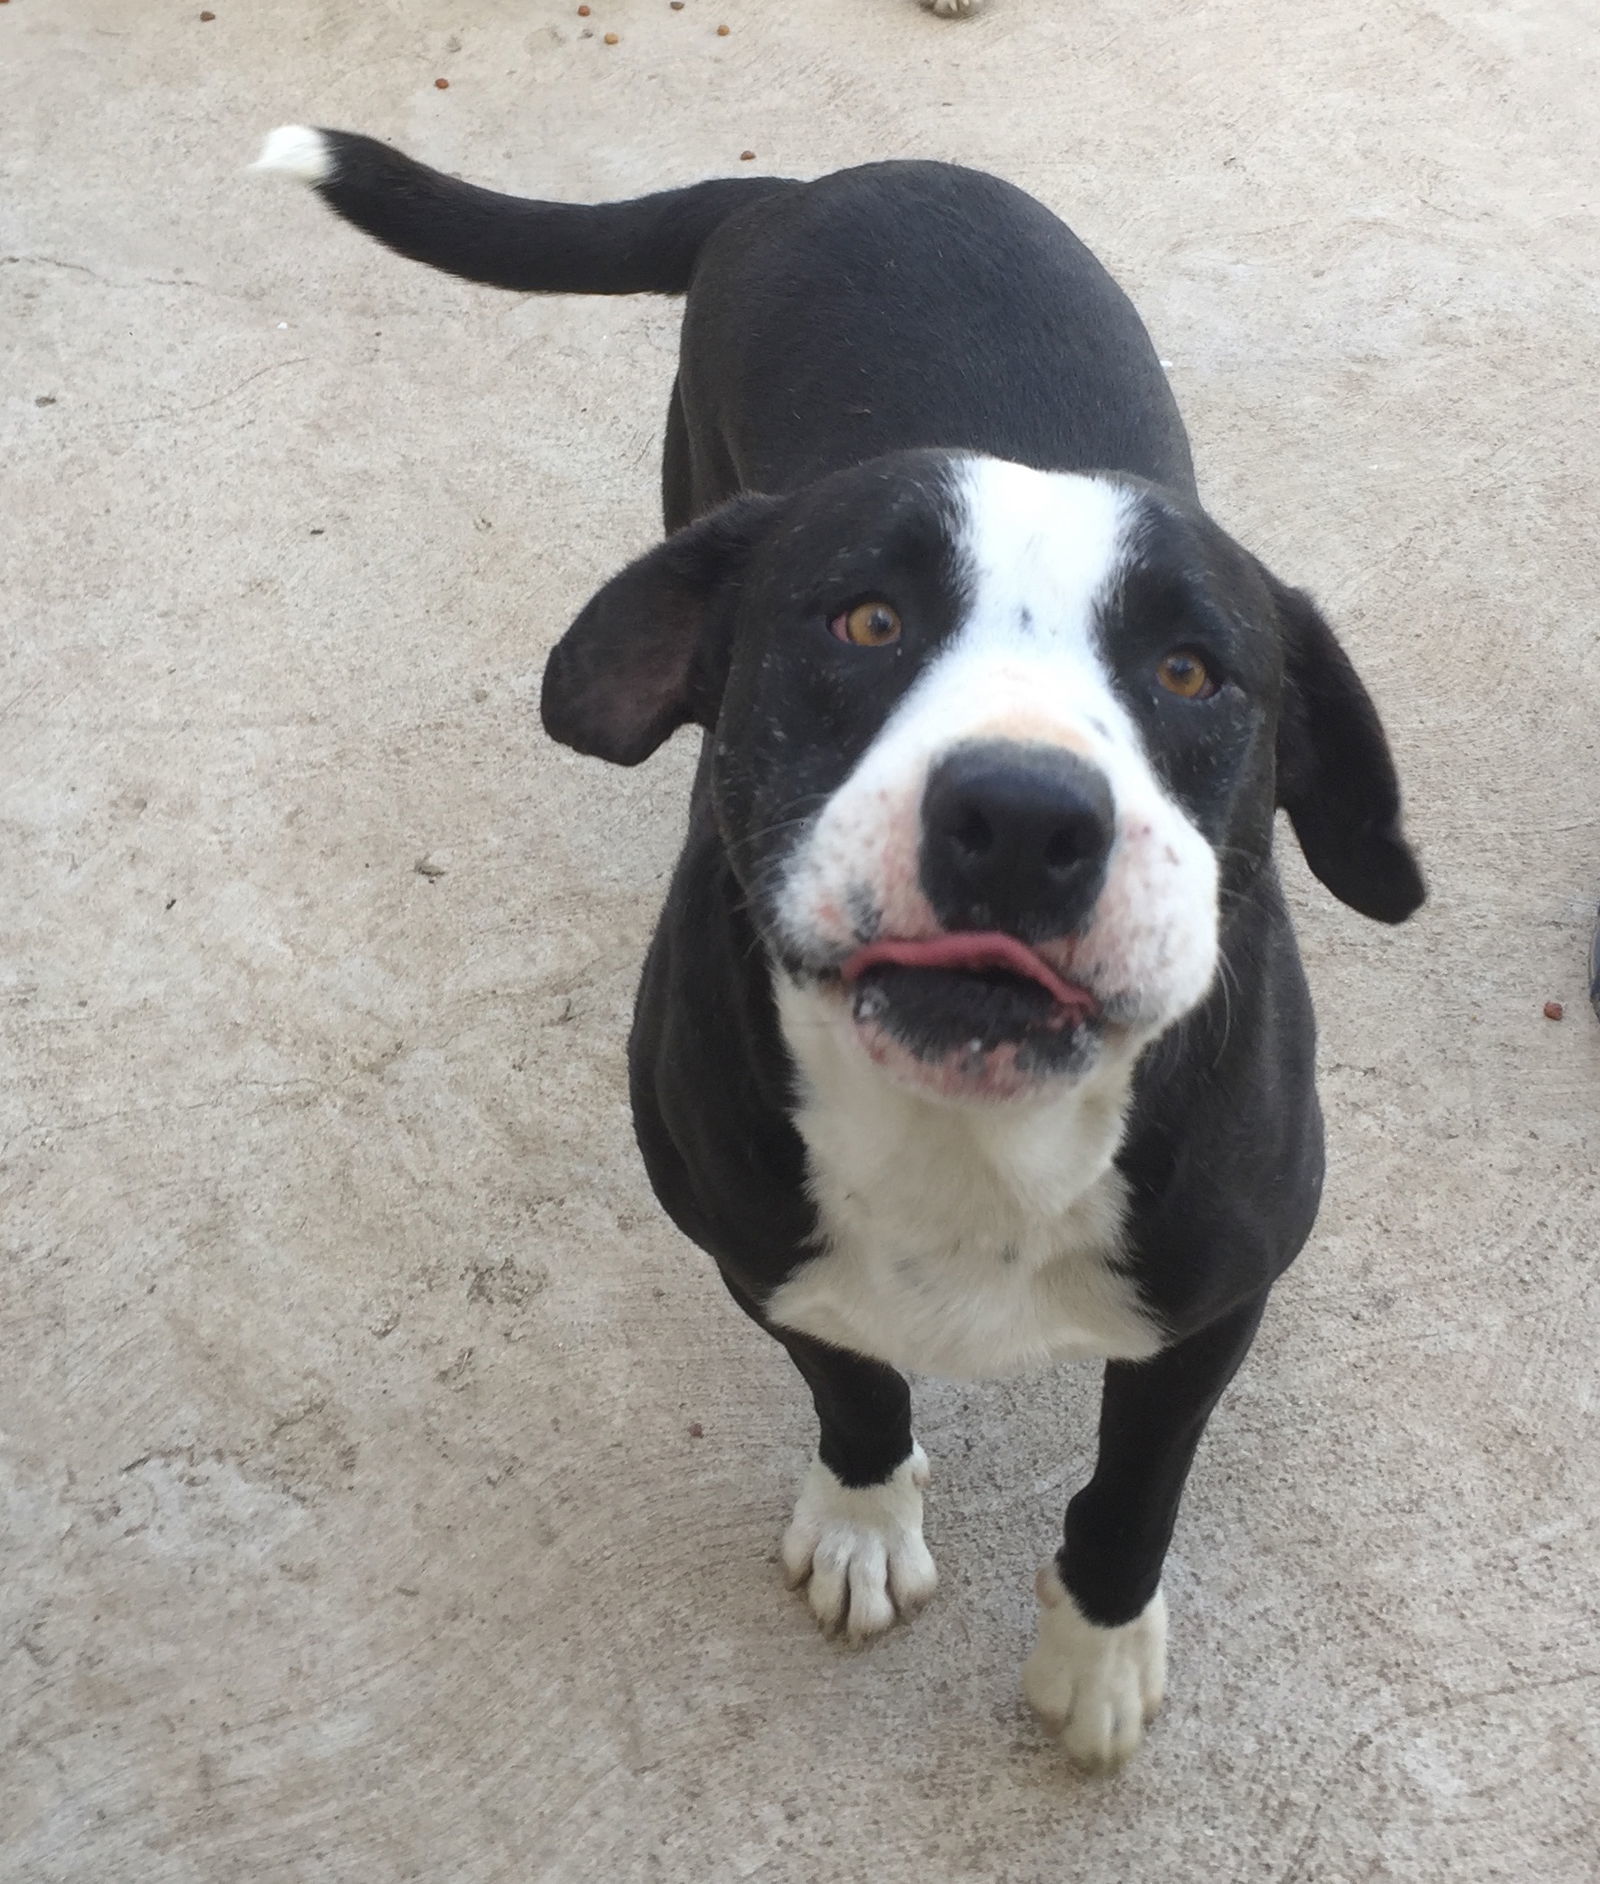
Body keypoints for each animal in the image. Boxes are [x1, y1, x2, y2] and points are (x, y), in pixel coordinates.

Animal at [258, 129, 1424, 1763]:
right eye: (864, 621)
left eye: (1193, 671)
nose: (1021, 816)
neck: (972, 1134)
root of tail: (804, 182)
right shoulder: (754, 1242)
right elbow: (855, 1386)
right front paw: (867, 1522)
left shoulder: (1212, 1302)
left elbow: (1136, 1488)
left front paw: (1097, 1649)